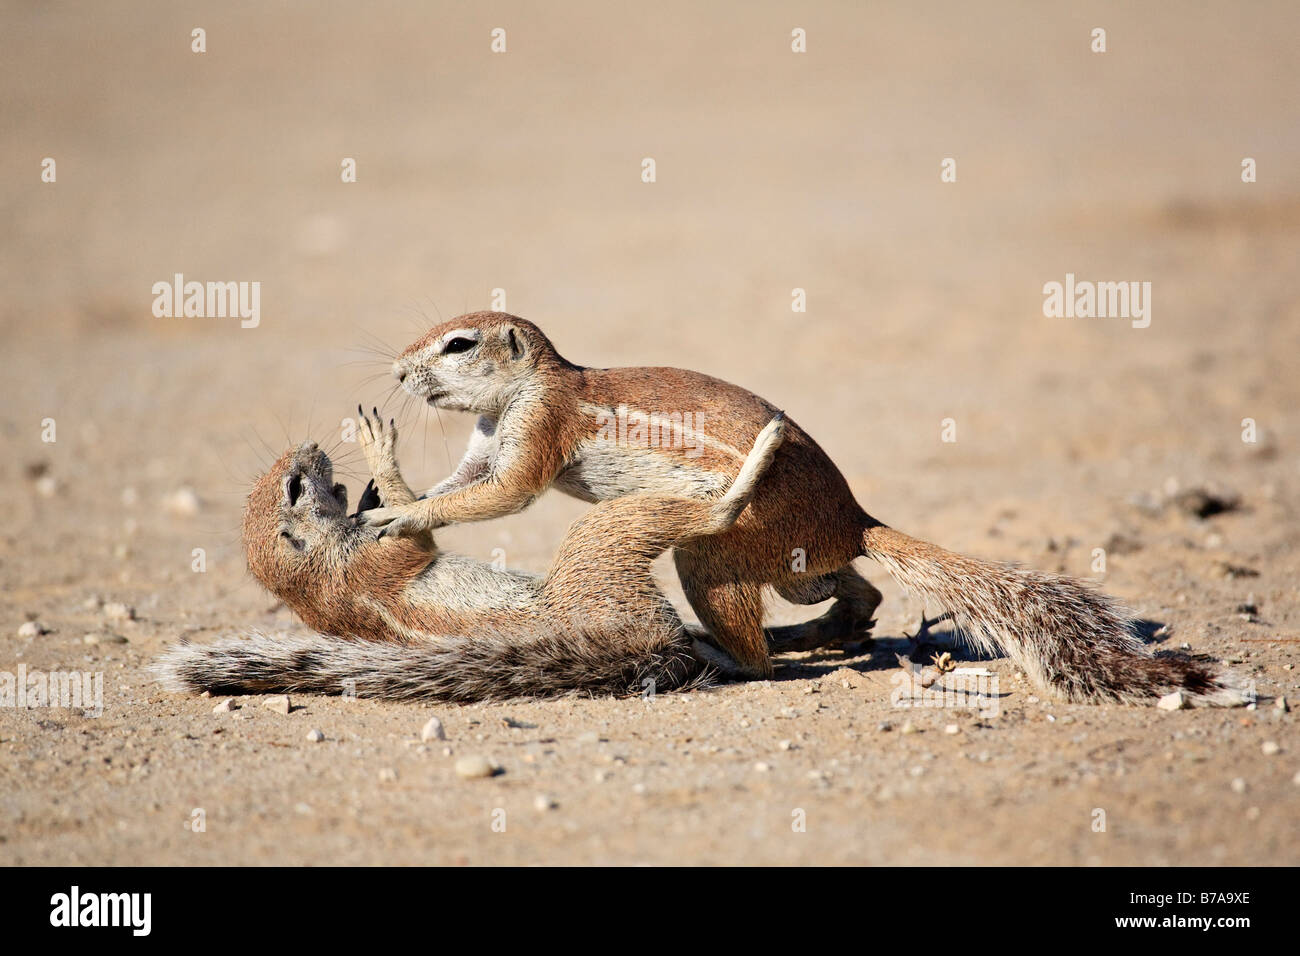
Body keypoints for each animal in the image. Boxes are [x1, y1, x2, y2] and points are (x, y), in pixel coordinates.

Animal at [152, 408, 780, 697]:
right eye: (293, 488)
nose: (308, 446)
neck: (315, 570)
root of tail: (638, 641)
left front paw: (372, 490)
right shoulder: (373, 559)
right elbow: (418, 541)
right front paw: (380, 454)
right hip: (600, 547)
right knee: (709, 518)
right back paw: (751, 466)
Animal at [364, 310, 1248, 707]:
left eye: (458, 345)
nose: (399, 371)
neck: (527, 388)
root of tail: (855, 517)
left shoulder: (538, 430)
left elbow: (502, 494)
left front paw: (397, 517)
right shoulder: (487, 443)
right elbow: (460, 486)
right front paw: (388, 485)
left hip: (720, 554)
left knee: (759, 644)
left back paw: (739, 654)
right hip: (796, 568)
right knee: (859, 592)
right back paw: (815, 633)